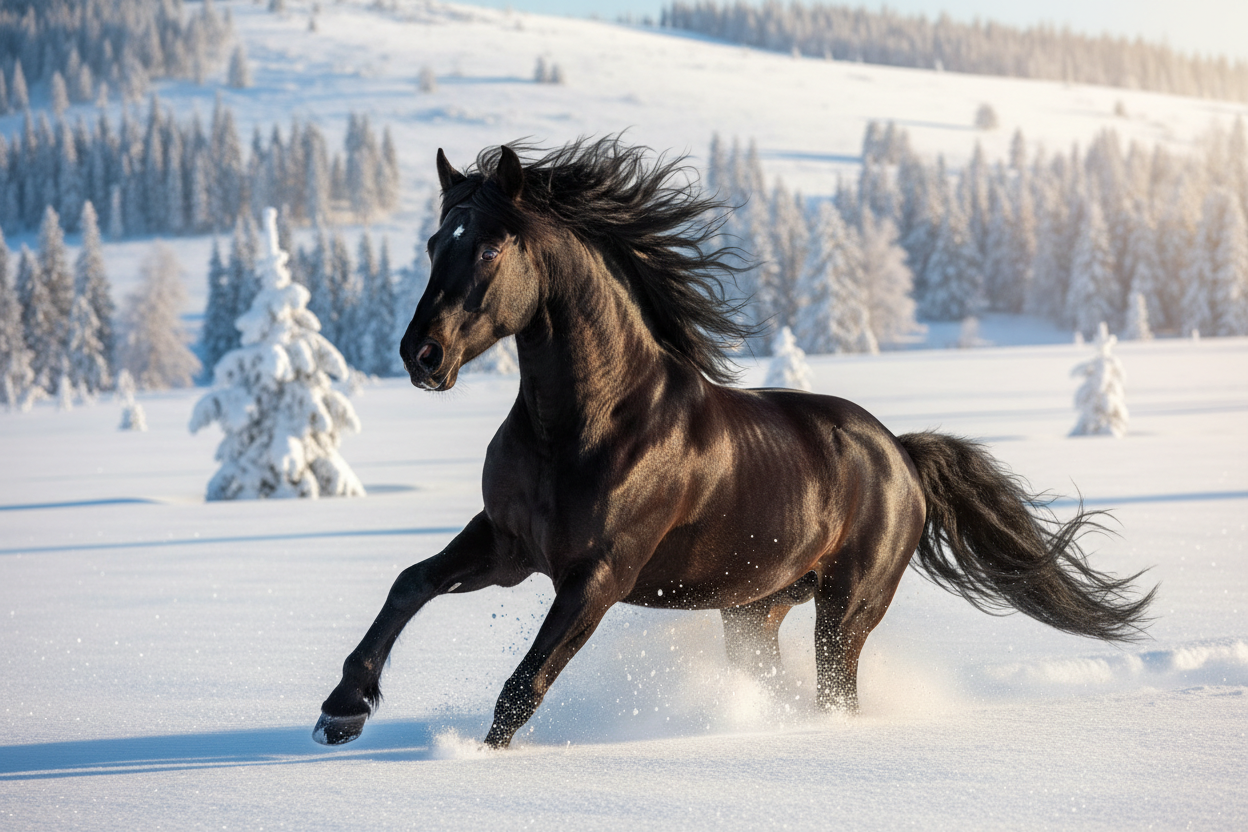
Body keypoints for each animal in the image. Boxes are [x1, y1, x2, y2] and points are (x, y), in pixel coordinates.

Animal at [313, 138, 1154, 749]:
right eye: (434, 241)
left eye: (491, 247)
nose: (421, 355)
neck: (587, 426)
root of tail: (899, 453)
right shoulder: (509, 546)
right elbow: (410, 583)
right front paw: (342, 710)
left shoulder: (598, 576)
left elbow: (525, 683)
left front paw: (473, 761)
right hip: (754, 612)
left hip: (845, 610)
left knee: (834, 693)